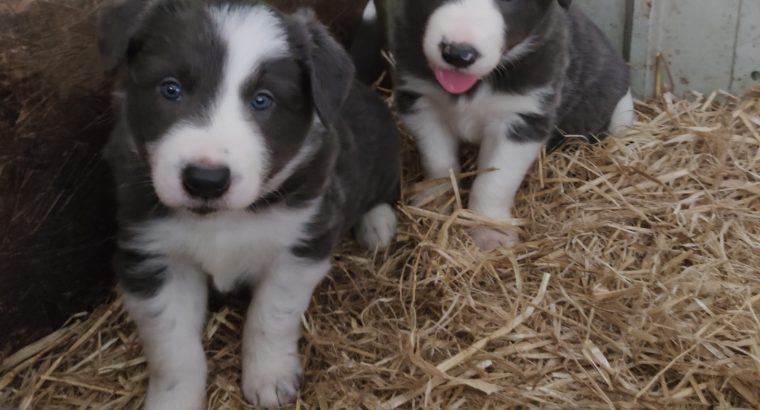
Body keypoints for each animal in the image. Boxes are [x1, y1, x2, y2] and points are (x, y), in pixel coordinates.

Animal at [98, 0, 400, 406]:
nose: (205, 180)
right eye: (170, 89)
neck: (221, 220)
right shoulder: (153, 256)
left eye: (263, 100)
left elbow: (270, 317)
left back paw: (377, 223)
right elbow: (173, 348)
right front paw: (174, 400)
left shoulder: (300, 246)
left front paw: (270, 378)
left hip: (383, 155)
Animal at [388, 0, 632, 250]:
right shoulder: (421, 102)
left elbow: (494, 182)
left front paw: (490, 229)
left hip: (623, 108)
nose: (458, 54)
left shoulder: (522, 120)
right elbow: (439, 163)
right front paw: (433, 205)